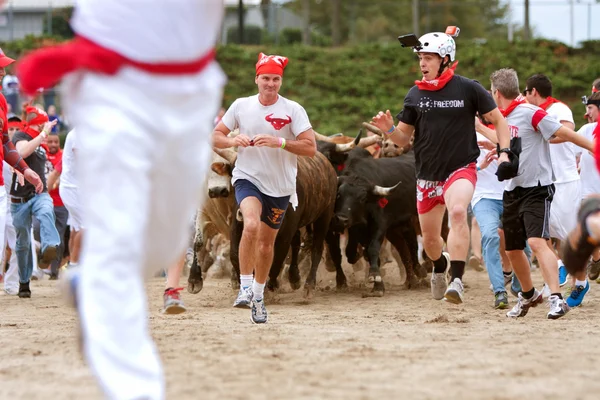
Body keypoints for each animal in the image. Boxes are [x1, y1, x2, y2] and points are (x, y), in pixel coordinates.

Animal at [229, 152, 344, 296]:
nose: (241, 213)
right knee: (296, 243)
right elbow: (235, 255)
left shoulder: (286, 233)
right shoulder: (238, 227)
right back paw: (294, 278)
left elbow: (277, 259)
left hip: (324, 217)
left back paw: (309, 284)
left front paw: (271, 286)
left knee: (317, 248)